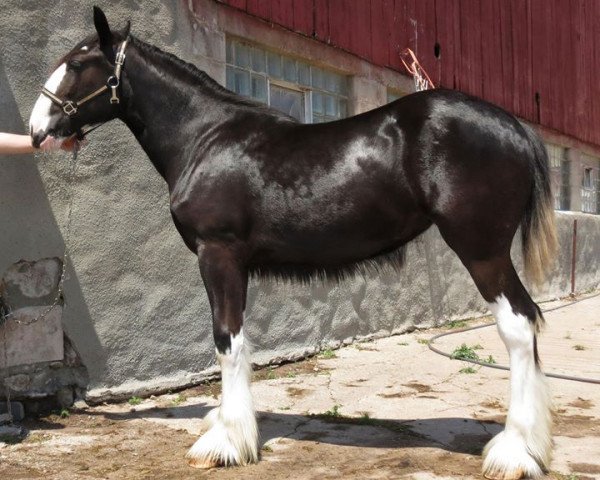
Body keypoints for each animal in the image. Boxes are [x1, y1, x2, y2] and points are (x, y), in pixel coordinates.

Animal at [30, 8, 556, 480]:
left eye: (77, 63)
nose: (38, 131)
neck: (205, 138)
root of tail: (515, 128)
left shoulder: (218, 255)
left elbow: (227, 340)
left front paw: (226, 442)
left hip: (481, 250)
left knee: (518, 325)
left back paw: (515, 452)